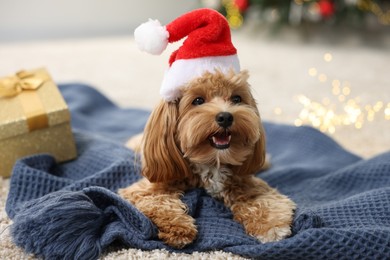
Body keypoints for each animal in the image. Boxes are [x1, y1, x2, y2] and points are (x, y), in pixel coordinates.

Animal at [119, 70, 296, 249]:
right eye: (198, 101)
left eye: (236, 99)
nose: (225, 117)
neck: (211, 162)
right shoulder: (147, 188)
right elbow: (158, 203)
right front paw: (178, 227)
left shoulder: (245, 183)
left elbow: (262, 200)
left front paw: (270, 226)